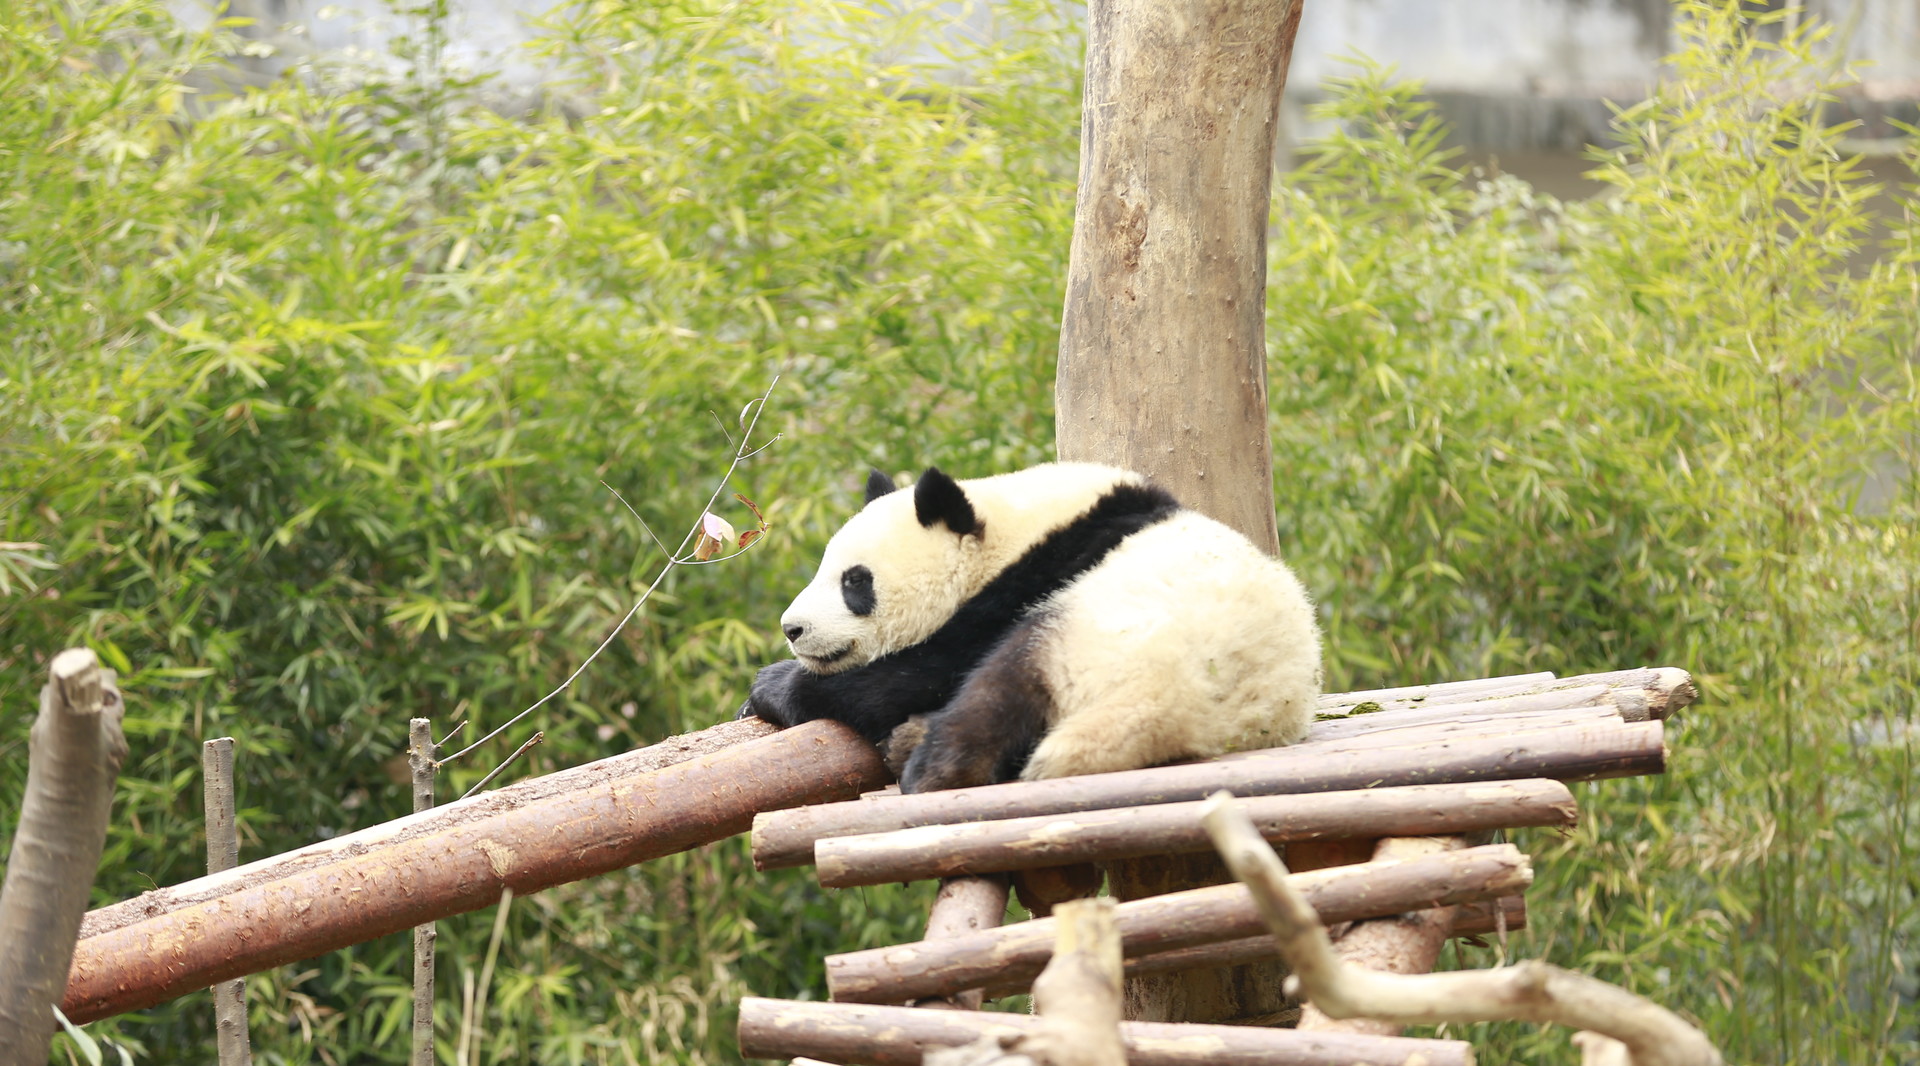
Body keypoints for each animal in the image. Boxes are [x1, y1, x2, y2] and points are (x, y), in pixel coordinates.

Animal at [737, 462, 1320, 795]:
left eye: (855, 581)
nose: (793, 628)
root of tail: (1171, 708)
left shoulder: (1036, 578)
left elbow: (919, 673)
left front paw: (772, 686)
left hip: (1097, 634)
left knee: (999, 687)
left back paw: (929, 766)